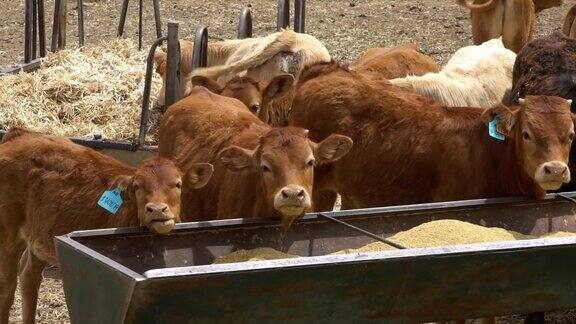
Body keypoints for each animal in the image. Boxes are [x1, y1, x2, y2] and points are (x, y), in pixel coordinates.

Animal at [0, 129, 213, 324]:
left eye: (178, 184)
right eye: (137, 187)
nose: (157, 209)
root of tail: (22, 134)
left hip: (38, 235)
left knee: (29, 277)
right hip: (8, 233)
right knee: (7, 288)